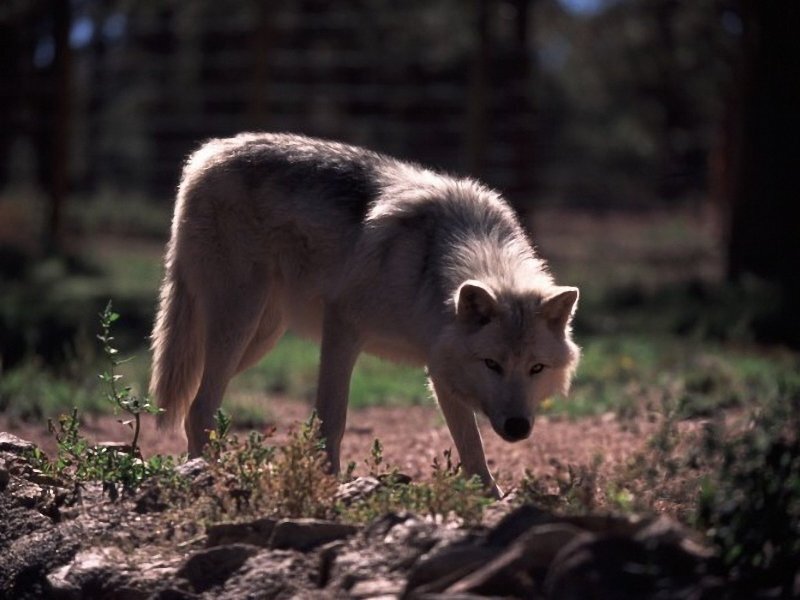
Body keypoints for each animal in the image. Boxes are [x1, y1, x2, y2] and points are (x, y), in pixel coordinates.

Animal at [150, 132, 580, 496]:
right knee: (199, 409)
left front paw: (490, 497)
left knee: (194, 402)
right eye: (492, 364)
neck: (430, 266)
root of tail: (206, 154)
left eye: (536, 368)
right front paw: (326, 484)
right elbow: (332, 418)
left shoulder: (439, 365)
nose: (518, 427)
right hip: (239, 324)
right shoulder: (342, 328)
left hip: (258, 340)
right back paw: (205, 476)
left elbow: (470, 445)